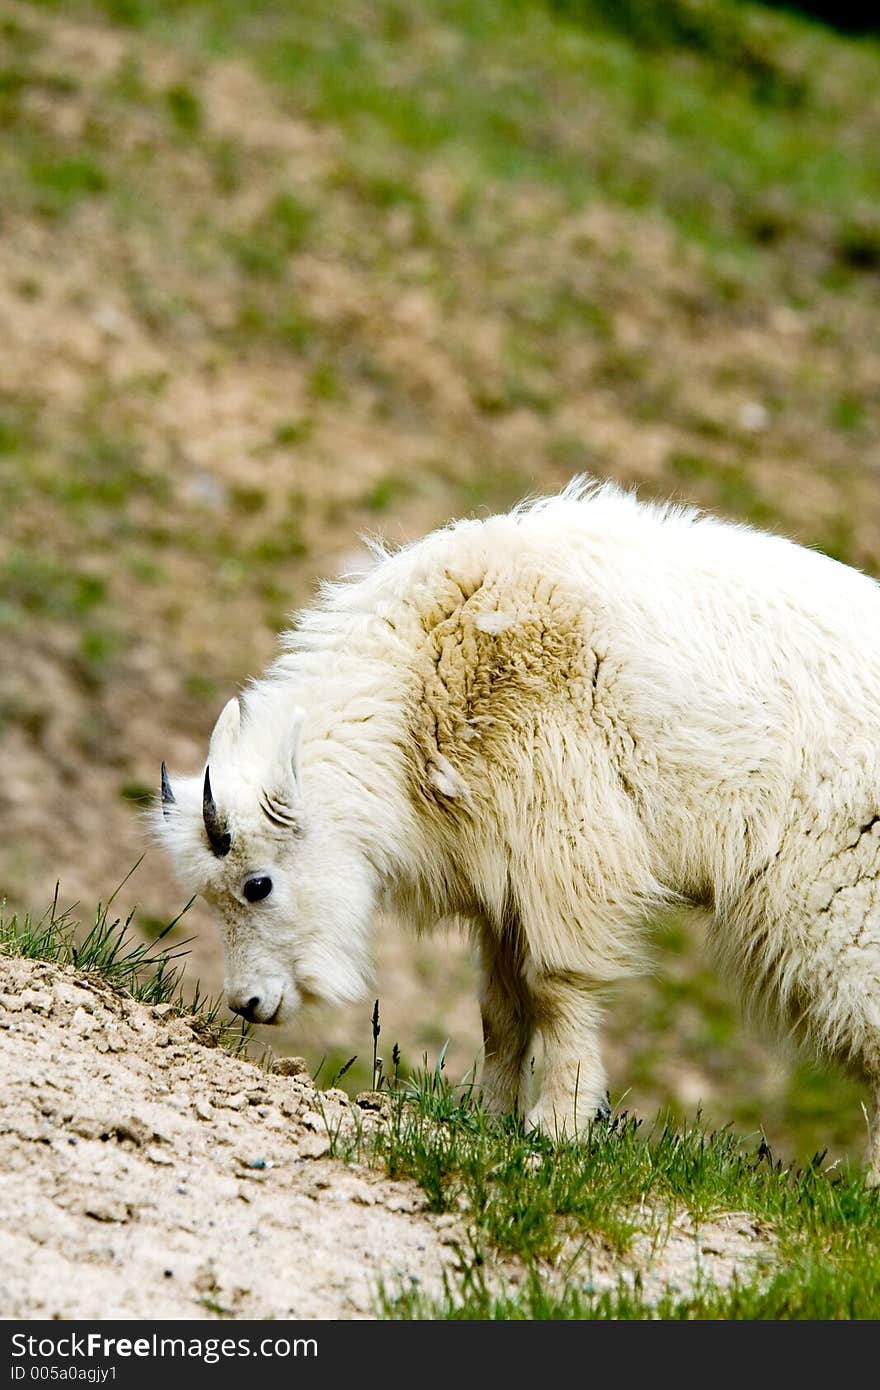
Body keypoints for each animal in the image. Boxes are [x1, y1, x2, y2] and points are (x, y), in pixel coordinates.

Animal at [157, 483, 880, 1178]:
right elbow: (499, 1012)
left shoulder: (564, 844)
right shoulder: (503, 881)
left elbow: (558, 986)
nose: (249, 1003)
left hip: (844, 897)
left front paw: (558, 1125)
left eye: (258, 884)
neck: (431, 673)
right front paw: (489, 1114)